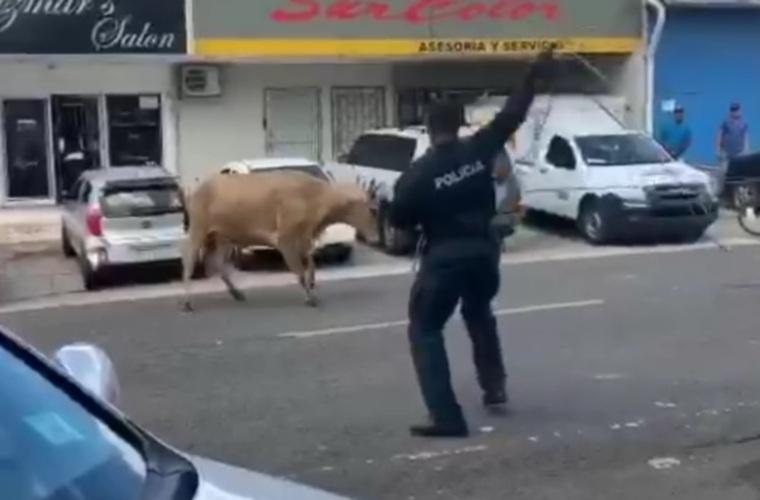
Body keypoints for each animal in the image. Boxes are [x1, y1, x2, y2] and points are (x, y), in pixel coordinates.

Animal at [180, 171, 379, 311]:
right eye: (372, 209)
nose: (376, 238)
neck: (313, 198)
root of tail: (194, 190)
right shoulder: (285, 238)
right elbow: (299, 270)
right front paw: (310, 298)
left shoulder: (304, 238)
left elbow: (311, 263)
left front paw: (312, 284)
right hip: (198, 228)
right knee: (189, 260)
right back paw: (188, 303)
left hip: (222, 236)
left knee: (217, 263)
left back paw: (237, 294)